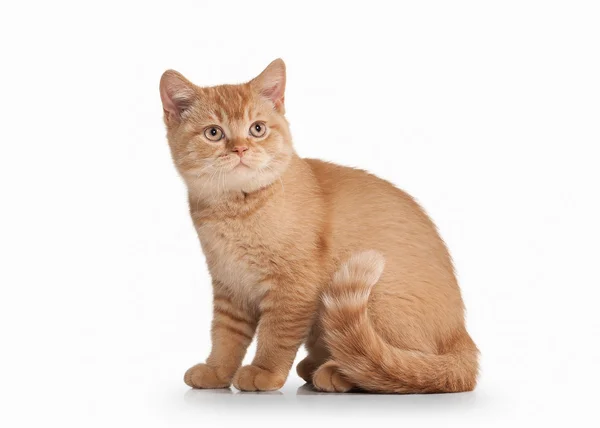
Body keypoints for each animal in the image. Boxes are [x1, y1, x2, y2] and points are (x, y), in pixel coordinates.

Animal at [158, 58, 478, 392]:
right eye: (214, 133)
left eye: (257, 129)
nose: (241, 149)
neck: (235, 211)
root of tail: (462, 336)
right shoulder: (230, 286)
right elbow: (225, 337)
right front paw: (216, 371)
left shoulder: (294, 286)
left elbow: (276, 334)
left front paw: (264, 371)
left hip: (381, 297)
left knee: (401, 364)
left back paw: (339, 372)